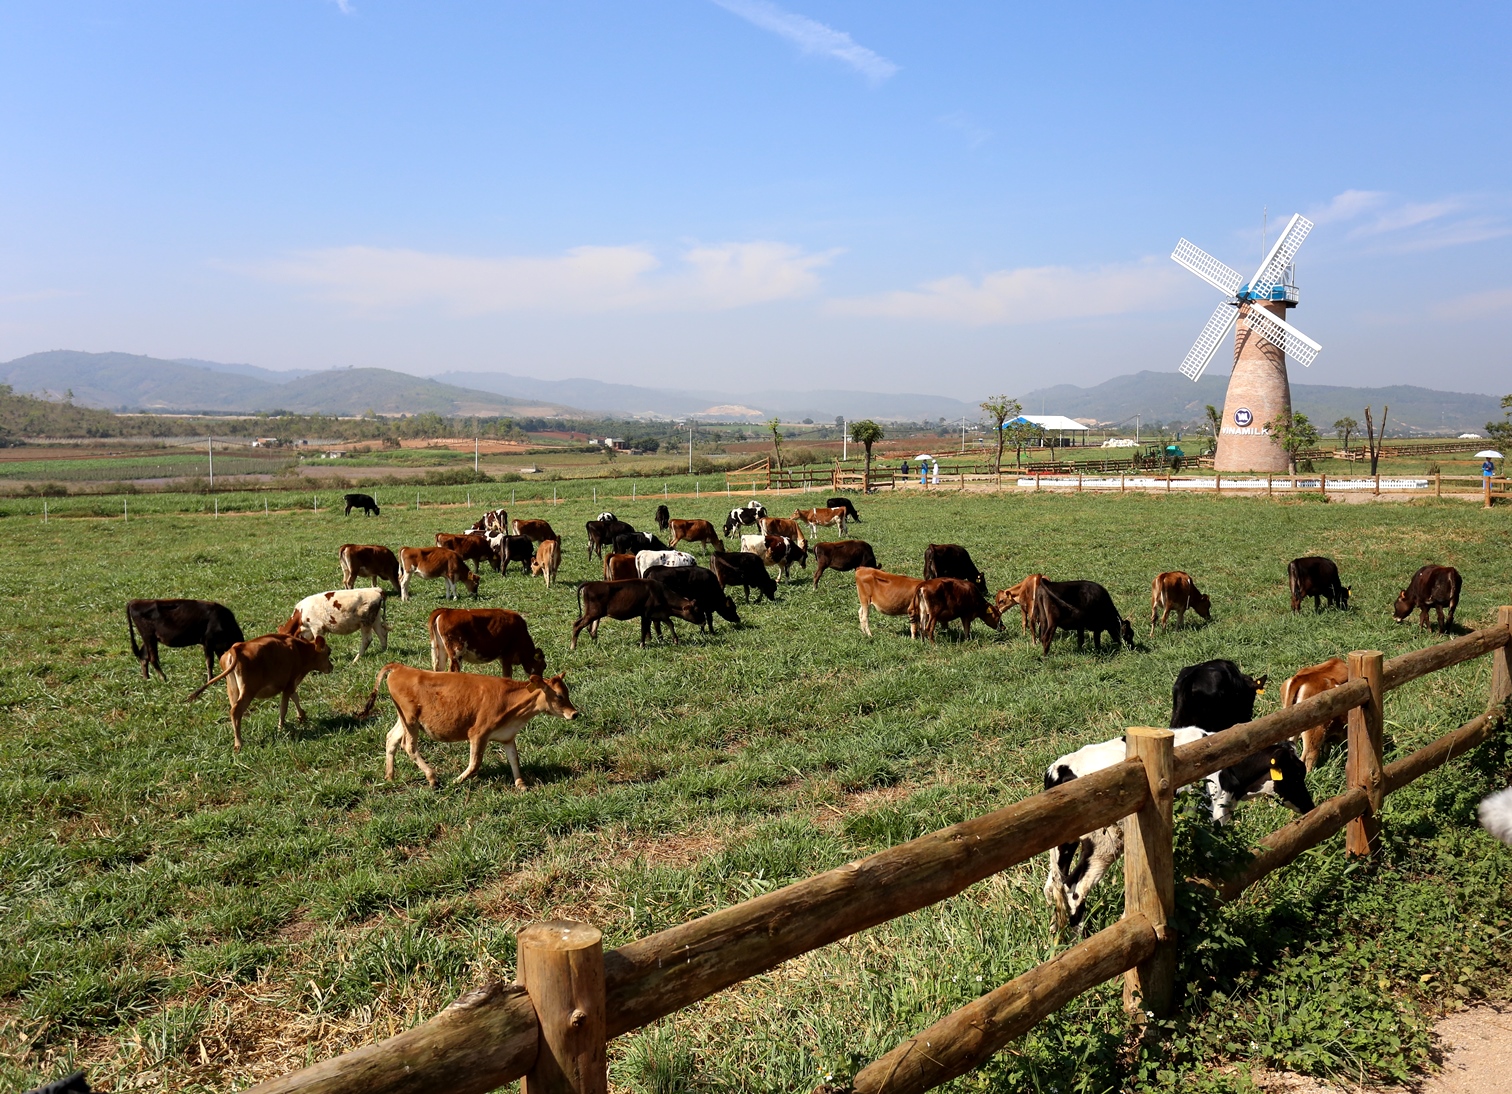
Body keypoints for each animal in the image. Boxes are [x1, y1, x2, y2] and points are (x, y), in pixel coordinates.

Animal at [185, 610, 334, 755]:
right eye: (328, 652)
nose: (331, 667)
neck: (300, 650)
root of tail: (236, 648)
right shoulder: (290, 683)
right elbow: (284, 708)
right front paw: (281, 728)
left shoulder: (288, 684)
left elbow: (295, 697)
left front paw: (301, 716)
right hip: (248, 690)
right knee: (236, 711)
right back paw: (239, 743)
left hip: (232, 688)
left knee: (234, 712)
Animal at [359, 658, 577, 785]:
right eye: (559, 696)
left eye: (567, 693)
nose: (574, 714)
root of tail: (400, 667)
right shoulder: (478, 733)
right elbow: (475, 763)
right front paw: (457, 781)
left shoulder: (507, 736)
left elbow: (514, 759)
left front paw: (521, 784)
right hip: (410, 720)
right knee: (409, 746)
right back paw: (432, 777)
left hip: (403, 720)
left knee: (391, 739)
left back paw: (390, 776)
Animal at [568, 580, 704, 649]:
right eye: (697, 610)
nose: (704, 621)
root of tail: (590, 583)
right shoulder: (646, 614)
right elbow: (644, 630)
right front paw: (642, 645)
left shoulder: (659, 614)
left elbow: (670, 623)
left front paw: (675, 640)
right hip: (592, 612)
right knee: (577, 625)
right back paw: (573, 647)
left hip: (597, 613)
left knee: (592, 628)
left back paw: (595, 643)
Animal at [1040, 725, 1312, 930]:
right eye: (1298, 773)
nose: (1310, 806)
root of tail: (1060, 768)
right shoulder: (1213, 822)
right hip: (1104, 843)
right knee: (1075, 889)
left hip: (1066, 844)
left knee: (1056, 887)